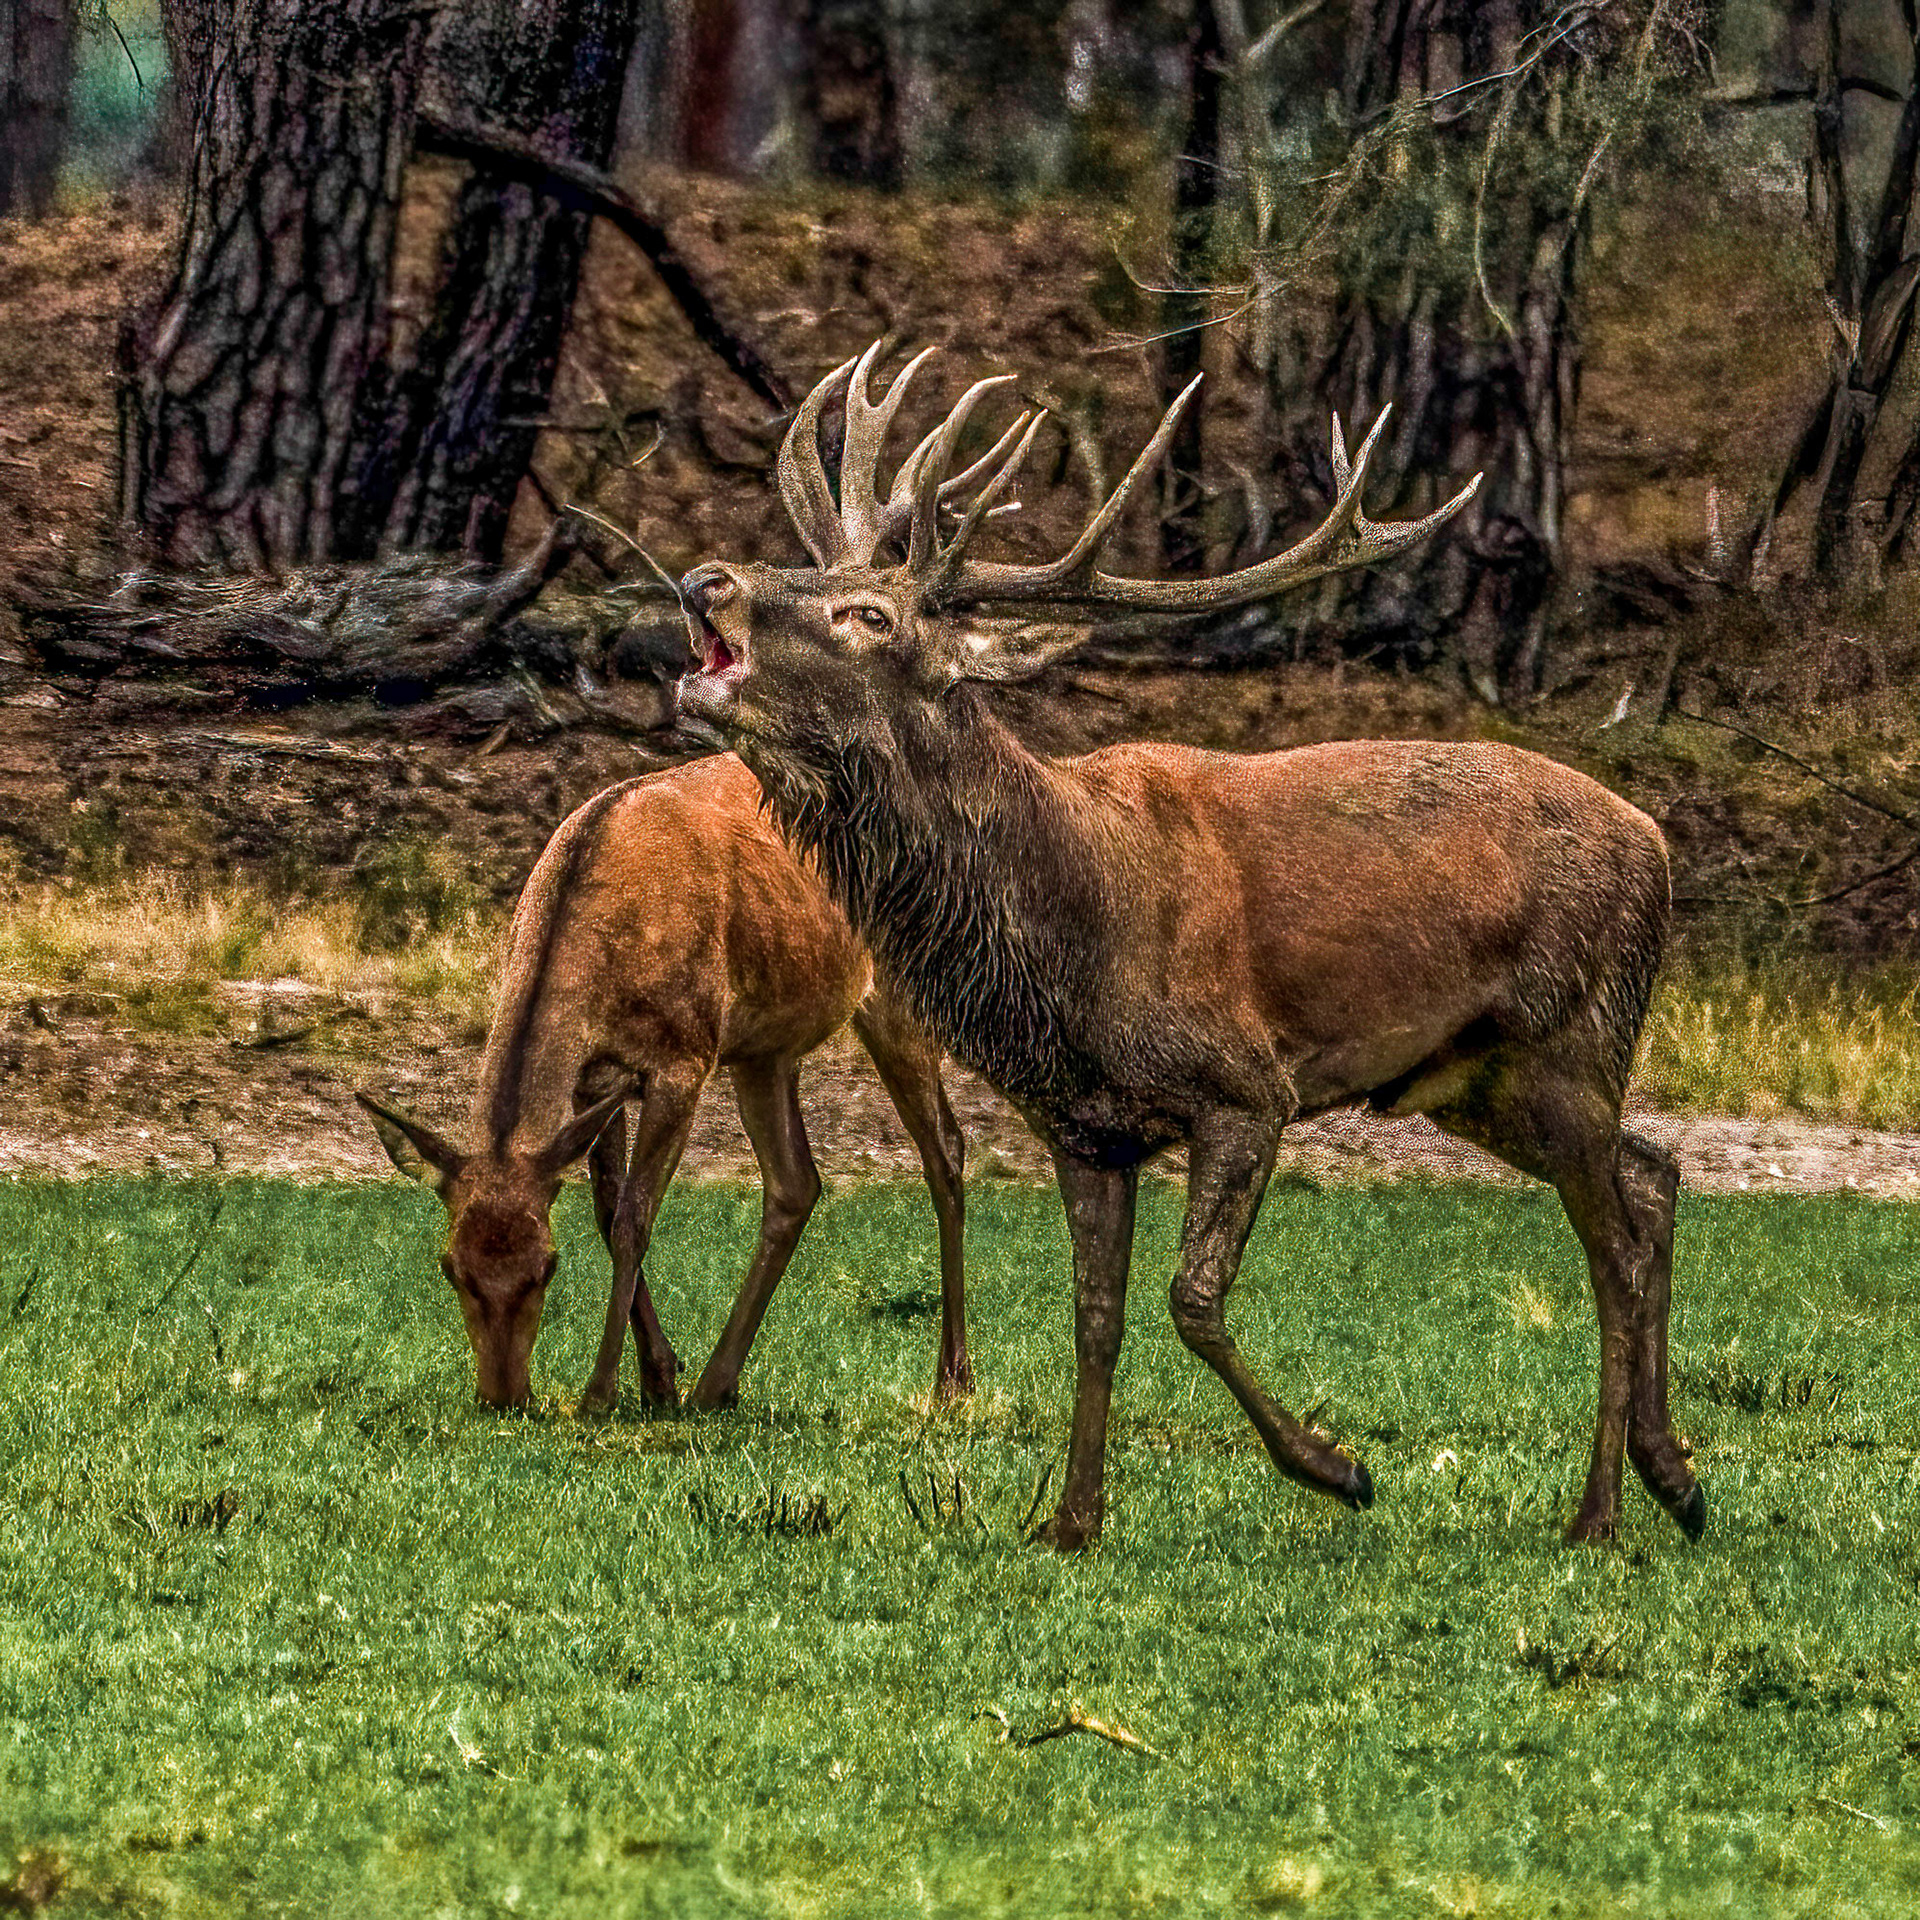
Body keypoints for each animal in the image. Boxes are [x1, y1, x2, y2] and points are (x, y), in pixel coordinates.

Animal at [355, 752, 969, 1413]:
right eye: (450, 1267)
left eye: (548, 1266)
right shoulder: (595, 1081)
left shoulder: (684, 1059)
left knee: (945, 1151)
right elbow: (605, 1210)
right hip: (763, 1048)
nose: (503, 1397)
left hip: (900, 990)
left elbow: (634, 1220)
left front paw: (601, 1392)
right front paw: (660, 1377)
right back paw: (715, 1385)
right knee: (796, 1182)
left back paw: (952, 1380)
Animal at [673, 339, 1704, 1553]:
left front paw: (1335, 1468)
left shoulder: (1243, 1086)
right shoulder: (1082, 1123)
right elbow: (1096, 1316)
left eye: (870, 615)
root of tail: (1659, 846)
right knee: (1655, 1173)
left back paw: (1600, 1514)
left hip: (1573, 1036)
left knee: (1614, 1249)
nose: (707, 580)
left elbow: (1193, 1300)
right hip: (1483, 1082)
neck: (1069, 940)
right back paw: (1676, 1478)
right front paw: (1070, 1521)